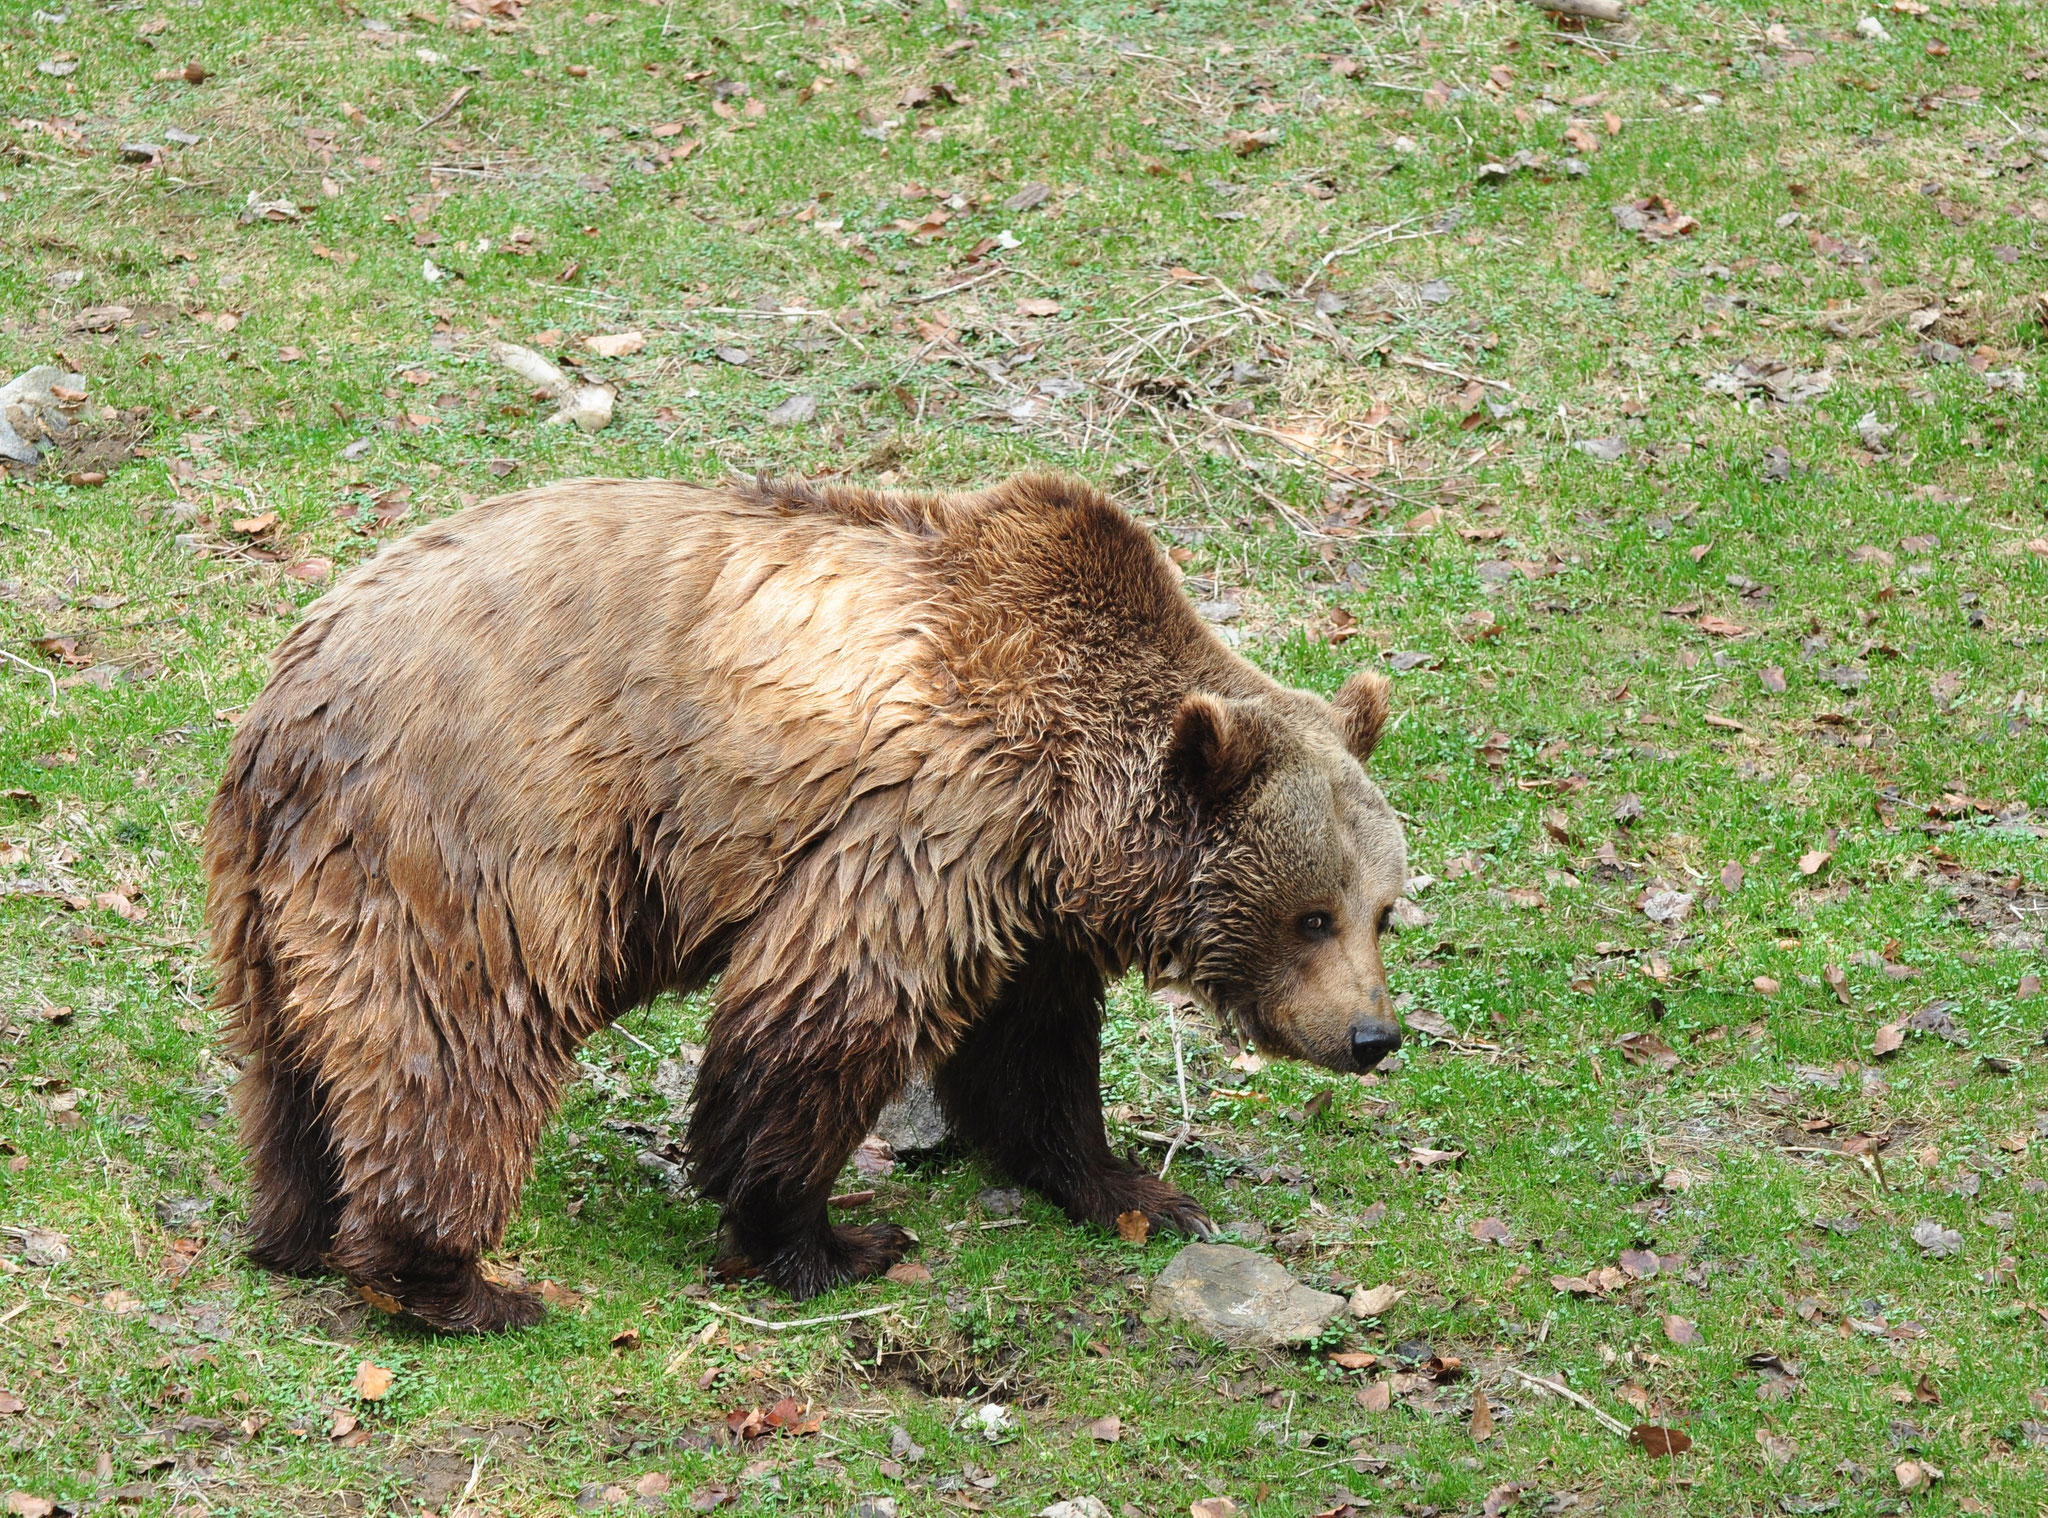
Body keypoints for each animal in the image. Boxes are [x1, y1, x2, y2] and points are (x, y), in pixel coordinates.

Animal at [203, 471, 1409, 1327]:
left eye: (1382, 910)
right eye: (1311, 914)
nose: (1371, 1035)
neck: (1071, 800)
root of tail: (289, 699)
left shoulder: (1026, 901)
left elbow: (1031, 1056)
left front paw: (1130, 1187)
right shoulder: (927, 823)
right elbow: (825, 1017)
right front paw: (824, 1237)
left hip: (283, 888)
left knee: (300, 1056)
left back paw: (299, 1227)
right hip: (478, 833)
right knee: (456, 1045)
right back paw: (456, 1282)